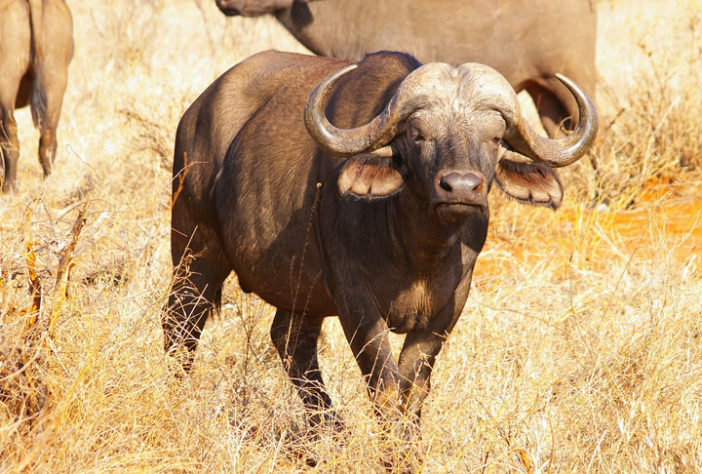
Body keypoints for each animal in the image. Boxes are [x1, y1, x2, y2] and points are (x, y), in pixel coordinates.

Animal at [165, 50, 600, 432]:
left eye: (495, 138)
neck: (417, 250)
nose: (460, 187)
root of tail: (196, 111)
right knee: (181, 325)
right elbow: (385, 387)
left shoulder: (447, 308)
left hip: (300, 291)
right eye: (418, 135)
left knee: (291, 342)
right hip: (194, 249)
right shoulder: (355, 300)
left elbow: (414, 389)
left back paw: (330, 431)